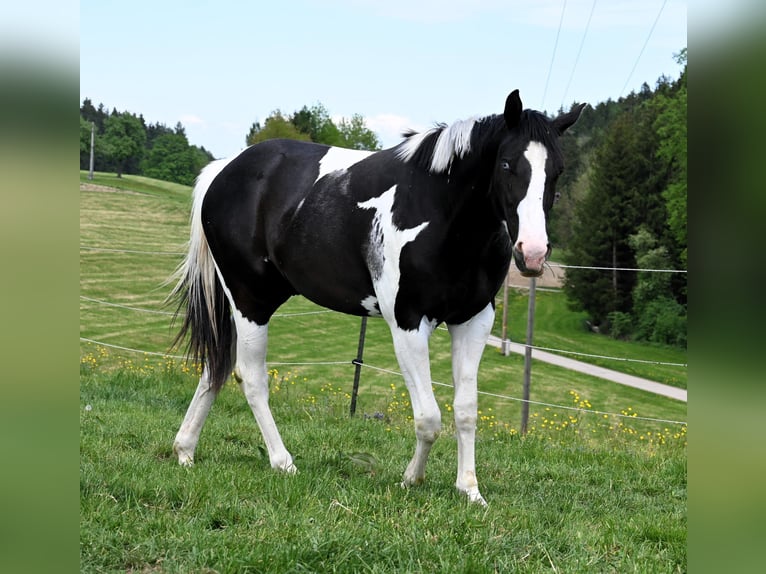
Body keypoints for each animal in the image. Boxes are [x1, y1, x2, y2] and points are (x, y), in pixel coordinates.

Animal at [170, 90, 585, 505]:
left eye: (558, 169)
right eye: (506, 164)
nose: (533, 253)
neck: (439, 210)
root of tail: (223, 170)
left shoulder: (474, 320)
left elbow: (466, 410)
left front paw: (469, 489)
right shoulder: (408, 323)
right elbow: (429, 416)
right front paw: (411, 479)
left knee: (216, 365)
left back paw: (185, 449)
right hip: (250, 301)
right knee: (251, 376)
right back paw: (282, 462)